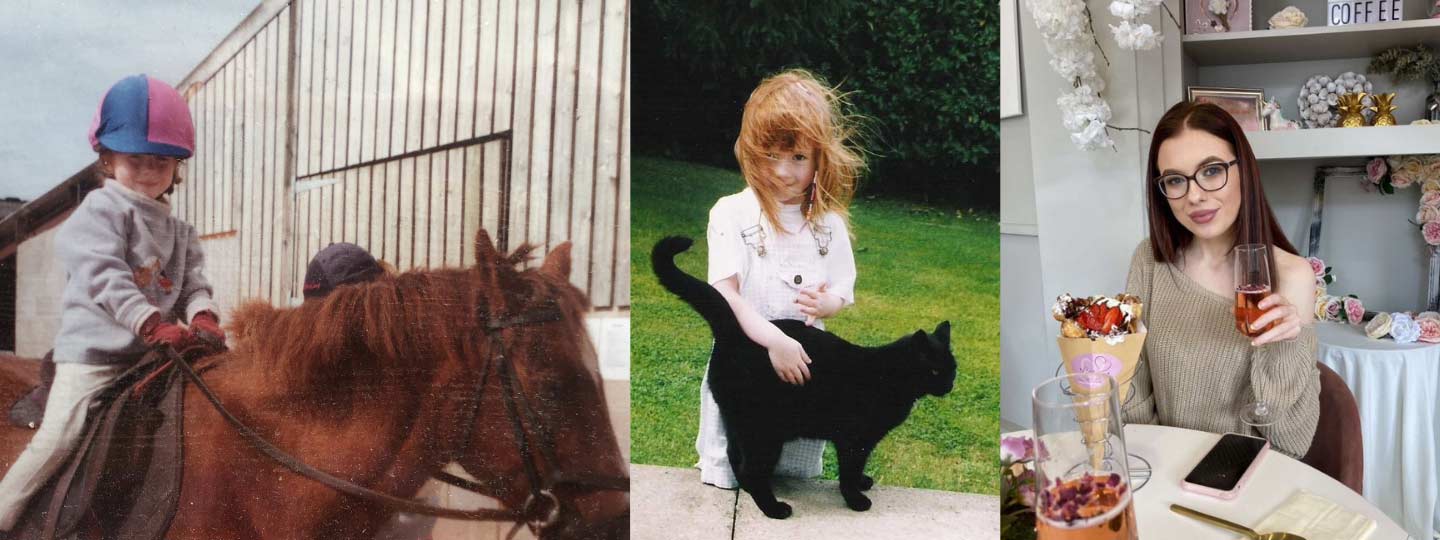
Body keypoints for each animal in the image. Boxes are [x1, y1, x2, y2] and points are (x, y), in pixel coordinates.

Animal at [653, 236, 956, 521]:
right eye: (934, 370)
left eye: (952, 368)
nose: (949, 385)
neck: (890, 374)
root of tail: (736, 334)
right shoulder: (853, 439)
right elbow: (849, 470)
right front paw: (855, 499)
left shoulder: (863, 441)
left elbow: (858, 466)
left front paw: (862, 483)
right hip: (764, 430)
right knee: (751, 468)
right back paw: (774, 508)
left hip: (739, 422)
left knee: (734, 456)